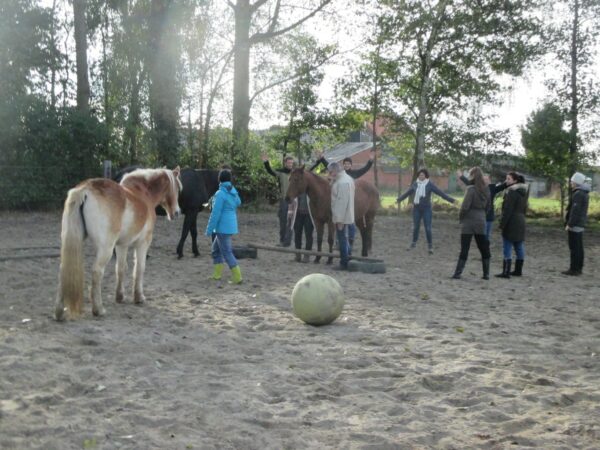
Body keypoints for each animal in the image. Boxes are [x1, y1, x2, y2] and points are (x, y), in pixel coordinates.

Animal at [54, 167, 182, 320]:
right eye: (177, 188)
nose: (177, 212)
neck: (144, 194)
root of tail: (85, 189)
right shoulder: (143, 243)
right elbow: (139, 268)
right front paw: (139, 297)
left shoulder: (121, 245)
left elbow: (120, 269)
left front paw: (120, 297)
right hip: (106, 249)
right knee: (97, 272)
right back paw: (98, 309)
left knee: (63, 270)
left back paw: (59, 312)